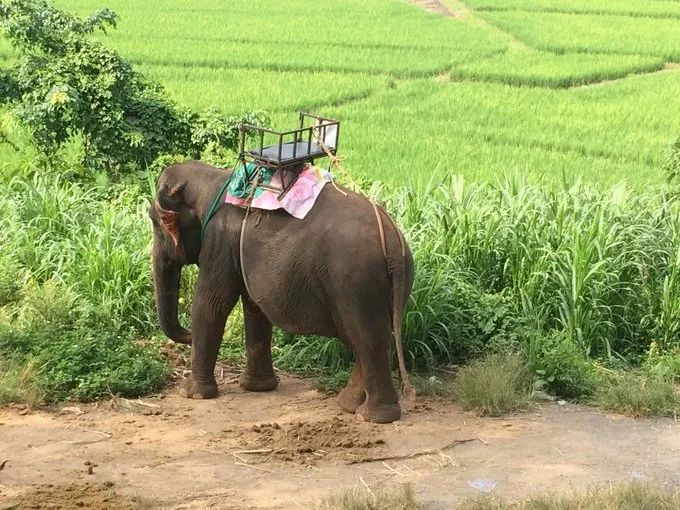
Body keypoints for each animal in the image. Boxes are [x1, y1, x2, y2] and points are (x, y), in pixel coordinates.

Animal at [149, 160, 414, 422]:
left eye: (155, 222)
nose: (187, 336)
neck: (212, 178)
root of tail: (392, 241)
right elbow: (254, 307)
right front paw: (257, 387)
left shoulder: (219, 240)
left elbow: (211, 304)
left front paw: (191, 393)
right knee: (371, 337)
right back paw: (349, 406)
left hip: (354, 281)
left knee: (366, 337)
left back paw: (371, 416)